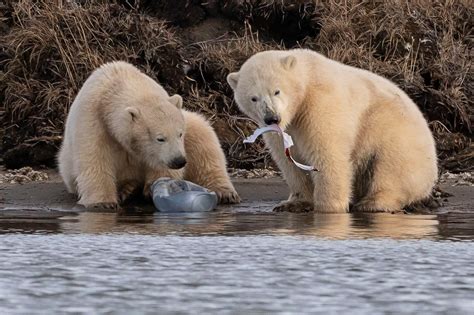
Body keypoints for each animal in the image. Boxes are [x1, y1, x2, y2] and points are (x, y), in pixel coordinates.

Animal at [58, 61, 241, 210]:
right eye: (160, 138)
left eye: (179, 134)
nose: (178, 161)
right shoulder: (92, 118)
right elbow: (95, 157)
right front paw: (103, 202)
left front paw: (156, 187)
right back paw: (127, 189)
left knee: (203, 137)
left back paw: (225, 192)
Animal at [228, 48, 438, 212]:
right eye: (253, 98)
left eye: (276, 91)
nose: (272, 117)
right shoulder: (284, 128)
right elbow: (289, 160)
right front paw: (293, 203)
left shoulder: (320, 103)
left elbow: (327, 153)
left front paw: (328, 207)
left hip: (395, 131)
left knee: (391, 165)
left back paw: (373, 202)